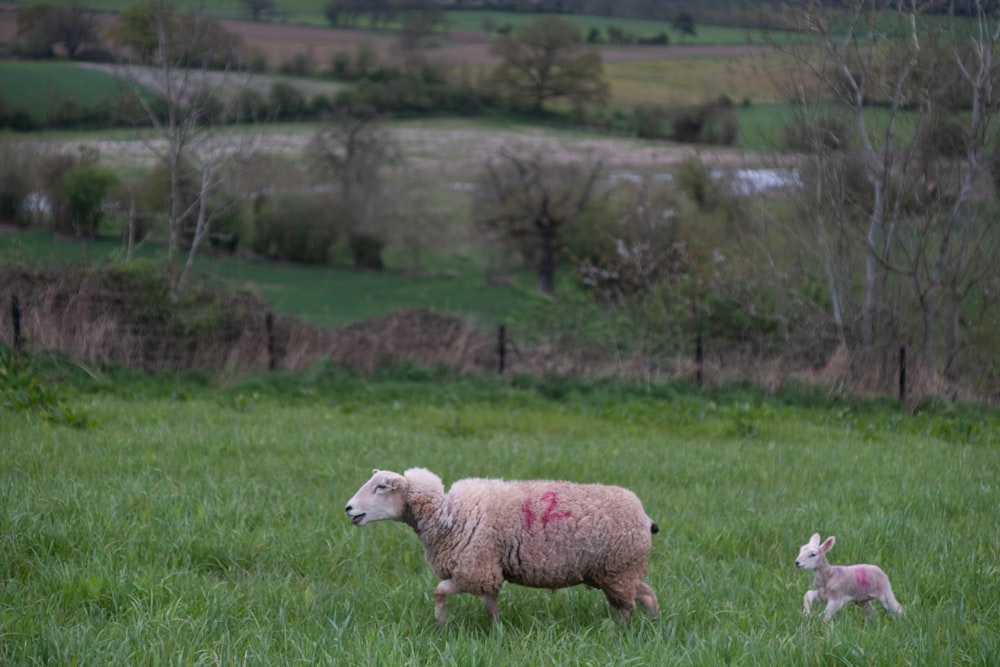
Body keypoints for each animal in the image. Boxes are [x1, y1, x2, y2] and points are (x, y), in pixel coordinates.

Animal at [346, 470, 664, 628]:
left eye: (381, 487)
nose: (348, 508)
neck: (448, 516)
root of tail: (645, 517)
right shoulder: (487, 571)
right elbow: (490, 606)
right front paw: (497, 631)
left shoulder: (473, 570)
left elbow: (439, 591)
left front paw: (441, 624)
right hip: (617, 571)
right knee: (647, 595)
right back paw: (656, 627)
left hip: (617, 569)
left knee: (628, 607)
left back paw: (619, 633)